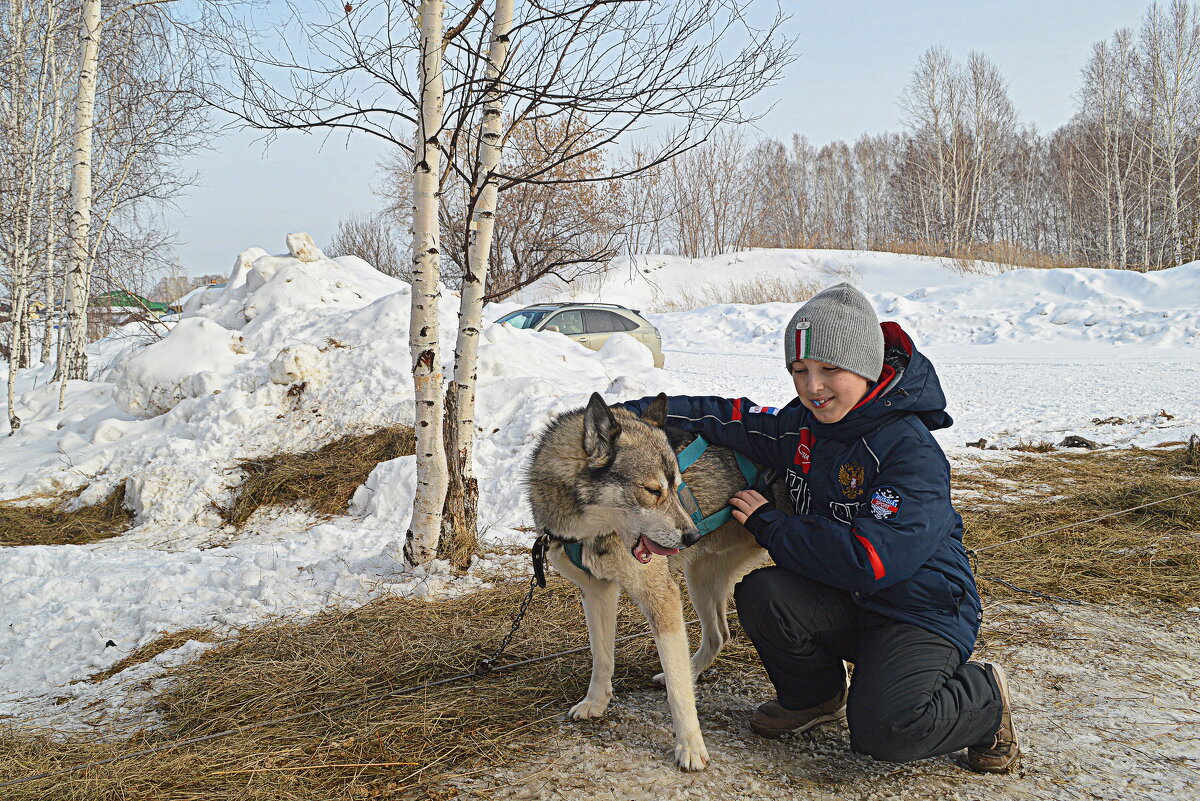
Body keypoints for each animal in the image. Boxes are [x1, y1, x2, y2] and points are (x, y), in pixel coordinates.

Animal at [528, 393, 787, 767]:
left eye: (676, 488)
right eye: (652, 490)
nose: (692, 537)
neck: (590, 531)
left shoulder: (661, 597)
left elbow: (679, 693)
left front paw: (690, 746)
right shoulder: (597, 592)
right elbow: (602, 657)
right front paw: (596, 702)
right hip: (699, 579)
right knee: (719, 635)